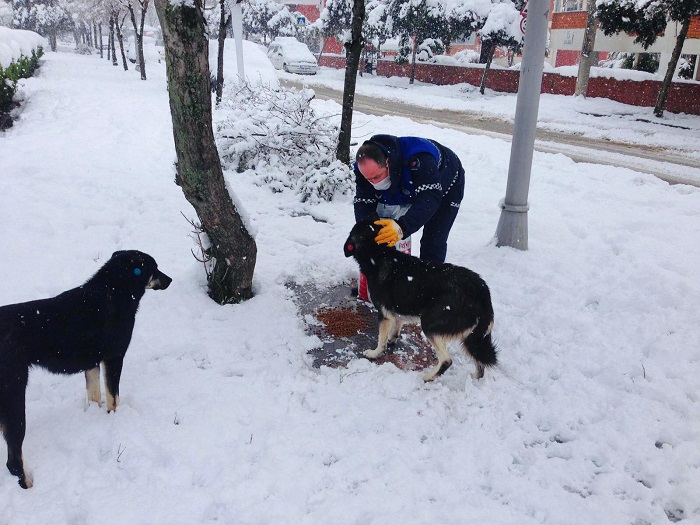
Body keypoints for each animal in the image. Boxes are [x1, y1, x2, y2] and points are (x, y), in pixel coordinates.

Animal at [0, 250, 171, 488]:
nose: (170, 280)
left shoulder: (92, 364)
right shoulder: (114, 358)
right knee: (13, 460)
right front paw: (113, 420)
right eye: (154, 268)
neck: (115, 290)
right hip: (14, 395)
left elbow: (94, 395)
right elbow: (113, 398)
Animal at [344, 217, 498, 380]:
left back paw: (428, 377)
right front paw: (392, 340)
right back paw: (473, 377)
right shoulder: (398, 310)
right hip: (472, 337)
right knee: (480, 364)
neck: (379, 253)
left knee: (447, 360)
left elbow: (381, 339)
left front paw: (375, 353)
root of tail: (482, 292)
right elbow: (396, 326)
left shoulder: (384, 315)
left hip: (430, 324)